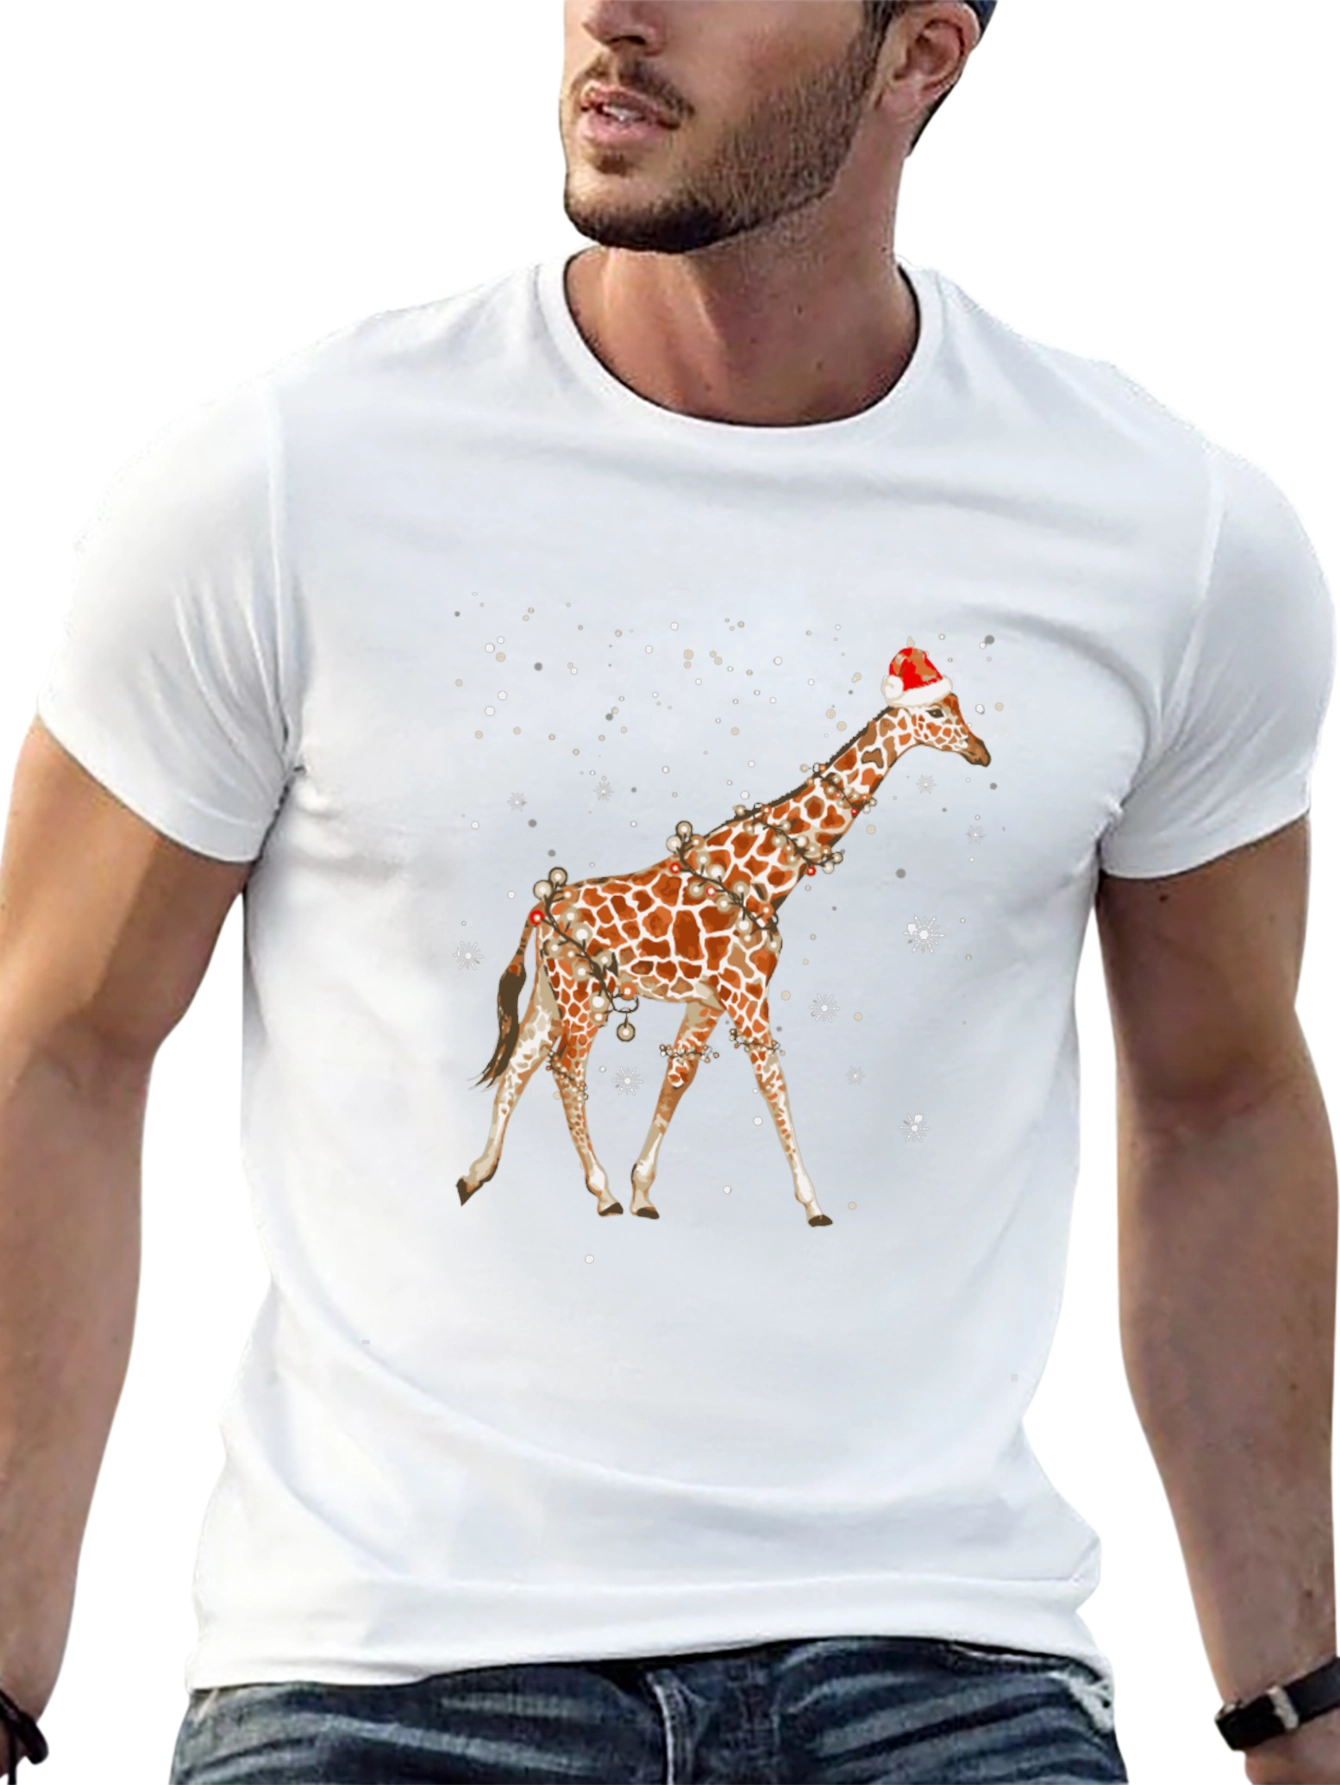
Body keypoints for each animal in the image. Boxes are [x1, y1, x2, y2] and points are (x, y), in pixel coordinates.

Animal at [456, 641, 991, 1227]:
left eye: (960, 706)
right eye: (937, 711)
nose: (982, 752)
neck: (766, 876)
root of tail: (542, 905)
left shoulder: (708, 1001)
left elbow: (678, 1078)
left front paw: (643, 1191)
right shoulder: (746, 992)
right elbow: (773, 1082)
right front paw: (813, 1204)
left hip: (552, 994)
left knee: (519, 1067)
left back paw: (475, 1175)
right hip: (583, 996)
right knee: (564, 1071)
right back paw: (600, 1193)